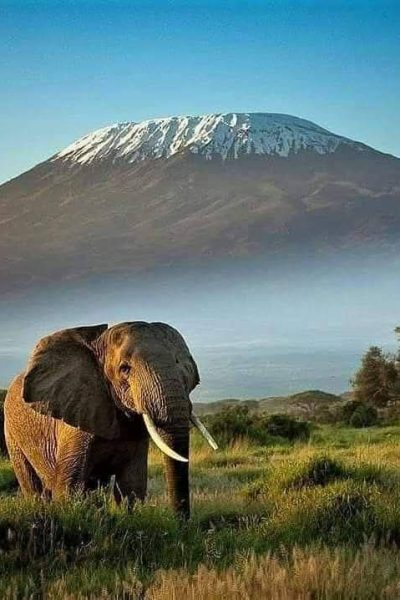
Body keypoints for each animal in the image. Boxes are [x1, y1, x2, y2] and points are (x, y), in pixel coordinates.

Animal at [3, 322, 216, 516]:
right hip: (12, 434)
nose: (181, 524)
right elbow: (68, 488)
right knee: (33, 487)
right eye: (125, 369)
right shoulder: (76, 419)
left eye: (179, 364)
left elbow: (132, 486)